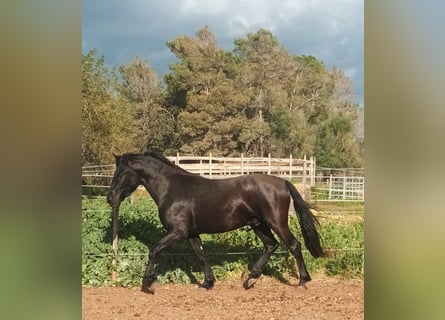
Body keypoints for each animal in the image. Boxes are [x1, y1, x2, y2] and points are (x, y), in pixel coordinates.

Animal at [106, 152, 324, 292]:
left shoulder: (178, 232)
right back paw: (250, 279)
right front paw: (208, 282)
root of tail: (284, 182)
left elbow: (154, 250)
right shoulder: (191, 233)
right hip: (258, 224)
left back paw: (303, 281)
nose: (110, 198)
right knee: (271, 246)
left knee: (294, 245)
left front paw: (148, 283)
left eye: (120, 174)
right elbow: (201, 255)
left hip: (276, 223)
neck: (172, 189)